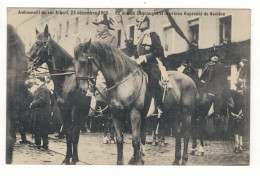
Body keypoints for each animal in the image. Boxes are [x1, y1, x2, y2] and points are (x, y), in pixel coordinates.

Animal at [25, 25, 90, 165]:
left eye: (39, 43)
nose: (27, 65)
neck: (67, 76)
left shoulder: (75, 108)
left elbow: (74, 133)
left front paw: (73, 160)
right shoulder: (63, 107)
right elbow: (68, 132)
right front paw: (67, 158)